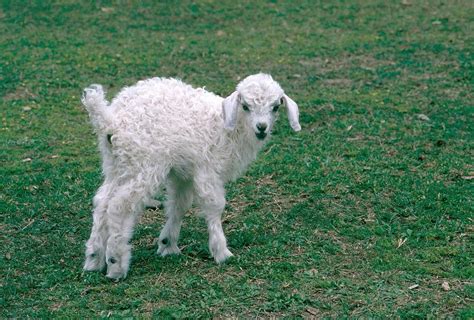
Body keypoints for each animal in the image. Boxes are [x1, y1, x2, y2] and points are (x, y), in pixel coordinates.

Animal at [81, 74, 300, 278]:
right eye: (245, 106)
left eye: (275, 107)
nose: (261, 127)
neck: (226, 128)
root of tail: (111, 120)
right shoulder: (207, 169)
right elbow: (214, 205)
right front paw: (222, 252)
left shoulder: (183, 172)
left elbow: (179, 204)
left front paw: (167, 245)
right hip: (144, 164)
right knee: (119, 205)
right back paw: (115, 264)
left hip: (116, 164)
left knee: (102, 201)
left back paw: (94, 258)